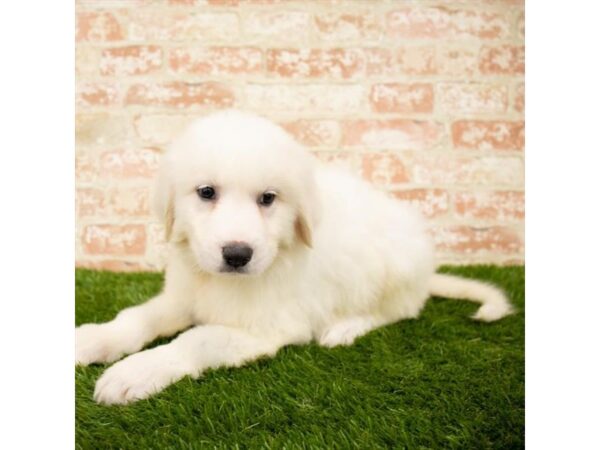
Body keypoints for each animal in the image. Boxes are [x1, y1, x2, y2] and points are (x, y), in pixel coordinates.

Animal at [76, 109, 516, 404]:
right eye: (206, 193)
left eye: (268, 199)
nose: (237, 254)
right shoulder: (182, 296)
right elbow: (136, 318)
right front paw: (94, 339)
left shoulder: (271, 327)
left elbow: (196, 339)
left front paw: (136, 370)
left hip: (395, 267)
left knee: (397, 311)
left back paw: (345, 327)